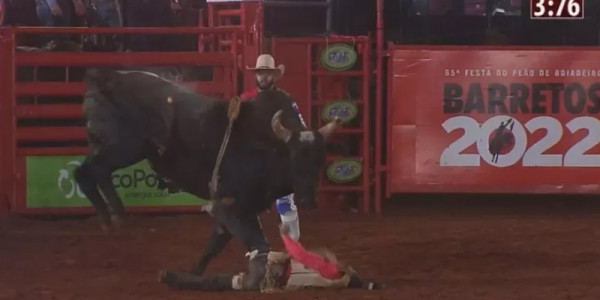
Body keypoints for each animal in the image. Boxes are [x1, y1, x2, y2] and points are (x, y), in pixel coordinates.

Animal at [74, 68, 342, 282]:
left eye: (320, 162)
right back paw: (109, 219)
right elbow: (257, 244)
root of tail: (105, 79)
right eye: (293, 160)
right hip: (124, 147)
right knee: (85, 173)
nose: (308, 201)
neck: (266, 143)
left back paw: (117, 215)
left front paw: (193, 273)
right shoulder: (230, 203)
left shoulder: (240, 206)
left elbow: (216, 242)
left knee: (97, 174)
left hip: (114, 149)